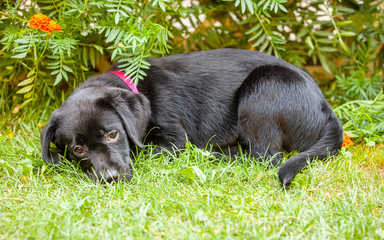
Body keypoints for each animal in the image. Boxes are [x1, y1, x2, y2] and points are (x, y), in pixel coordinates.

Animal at [40, 48, 344, 186]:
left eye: (113, 134)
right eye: (78, 150)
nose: (110, 178)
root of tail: (326, 109)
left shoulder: (174, 139)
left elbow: (146, 150)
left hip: (263, 86)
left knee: (263, 156)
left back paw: (212, 152)